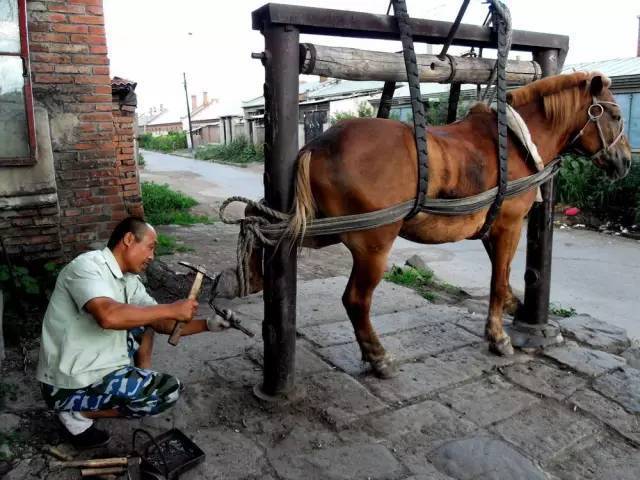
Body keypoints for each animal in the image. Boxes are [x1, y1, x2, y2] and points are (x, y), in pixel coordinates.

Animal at [217, 71, 631, 378]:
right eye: (615, 115)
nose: (626, 162)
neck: (515, 140)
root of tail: (318, 144)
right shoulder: (510, 225)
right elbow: (497, 281)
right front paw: (498, 337)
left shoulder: (490, 226)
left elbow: (502, 278)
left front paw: (515, 304)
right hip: (372, 243)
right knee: (356, 300)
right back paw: (378, 356)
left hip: (326, 228)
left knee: (266, 230)